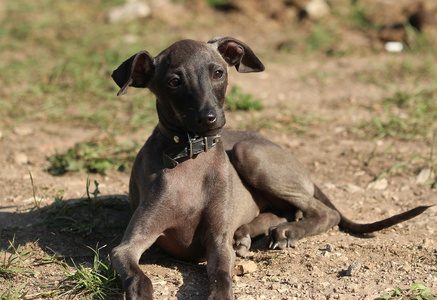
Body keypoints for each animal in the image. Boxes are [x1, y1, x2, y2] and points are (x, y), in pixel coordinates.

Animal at [109, 36, 430, 298]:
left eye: (218, 72)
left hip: (249, 153)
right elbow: (139, 276)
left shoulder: (217, 244)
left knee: (327, 213)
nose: (209, 119)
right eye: (174, 82)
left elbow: (221, 279)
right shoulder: (127, 247)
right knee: (285, 212)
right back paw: (252, 233)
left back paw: (286, 232)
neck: (191, 155)